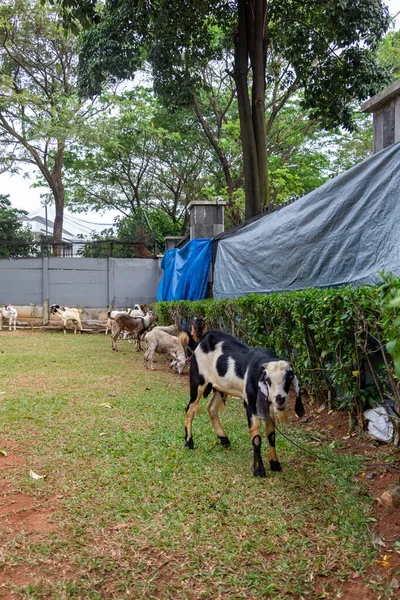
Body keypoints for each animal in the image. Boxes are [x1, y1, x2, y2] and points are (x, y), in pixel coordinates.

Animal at [184, 330, 304, 476]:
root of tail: (201, 342)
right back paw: (189, 442)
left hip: (221, 388)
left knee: (211, 408)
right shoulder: (250, 406)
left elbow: (271, 436)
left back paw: (224, 439)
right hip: (198, 382)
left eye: (288, 379)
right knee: (190, 409)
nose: (280, 399)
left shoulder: (269, 409)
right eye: (268, 380)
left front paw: (275, 463)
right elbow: (256, 438)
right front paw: (259, 469)